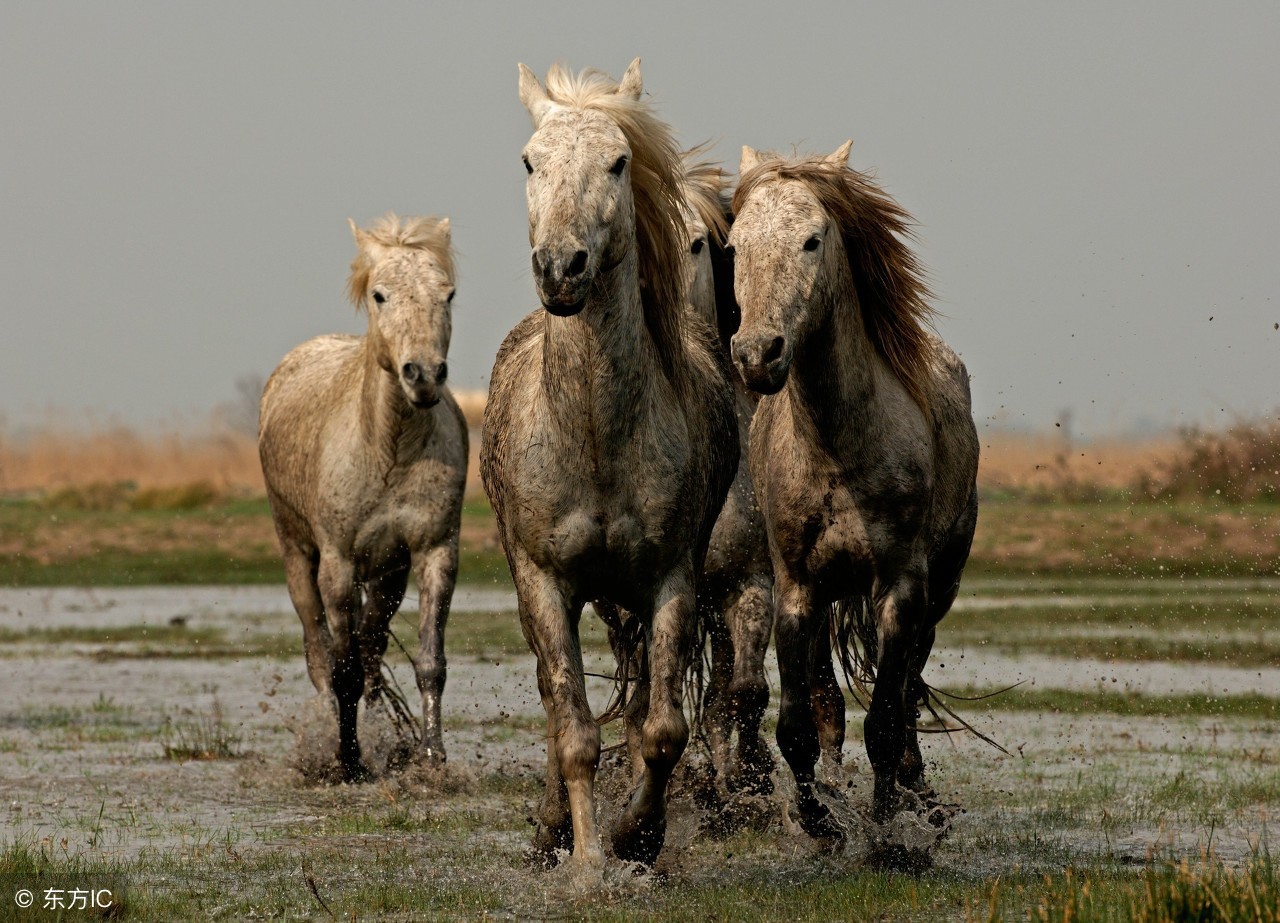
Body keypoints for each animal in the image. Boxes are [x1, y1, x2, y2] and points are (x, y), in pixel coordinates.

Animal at [257, 213, 468, 778]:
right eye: (380, 295)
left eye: (449, 293)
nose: (423, 374)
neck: (389, 448)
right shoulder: (338, 562)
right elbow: (342, 667)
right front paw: (347, 761)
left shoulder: (433, 552)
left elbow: (429, 662)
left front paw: (431, 758)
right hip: (298, 555)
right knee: (320, 654)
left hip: (388, 573)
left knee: (371, 648)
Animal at [732, 144, 977, 844]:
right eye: (734, 246)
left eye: (813, 240)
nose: (757, 354)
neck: (838, 448)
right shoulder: (797, 590)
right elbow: (796, 724)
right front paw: (821, 823)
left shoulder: (900, 589)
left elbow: (888, 721)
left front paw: (889, 832)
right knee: (829, 701)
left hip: (939, 589)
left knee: (911, 687)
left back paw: (919, 796)